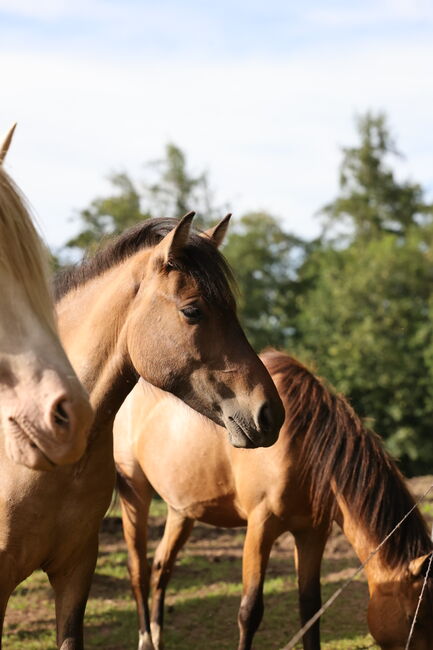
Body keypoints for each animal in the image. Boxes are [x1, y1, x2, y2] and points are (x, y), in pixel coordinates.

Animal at [114, 350, 432, 648]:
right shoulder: (260, 527)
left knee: (161, 567)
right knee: (138, 568)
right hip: (135, 494)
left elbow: (310, 608)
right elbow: (250, 611)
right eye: (413, 618)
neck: (302, 444)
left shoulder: (312, 533)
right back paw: (145, 639)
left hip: (182, 511)